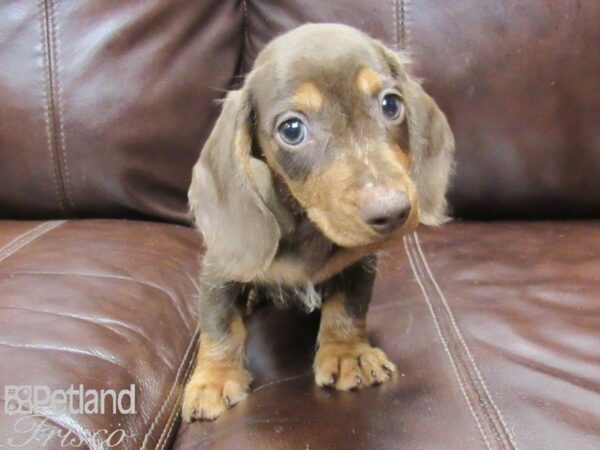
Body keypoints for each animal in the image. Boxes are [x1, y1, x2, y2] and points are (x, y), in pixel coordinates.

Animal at [183, 22, 454, 420]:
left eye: (391, 104)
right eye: (292, 129)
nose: (392, 211)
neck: (308, 226)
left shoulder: (359, 262)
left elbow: (349, 307)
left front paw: (348, 354)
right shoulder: (218, 271)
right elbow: (219, 325)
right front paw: (215, 379)